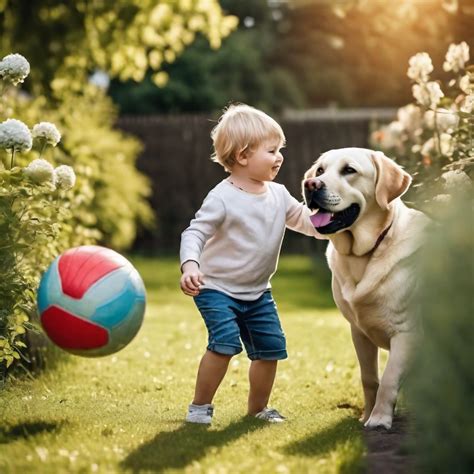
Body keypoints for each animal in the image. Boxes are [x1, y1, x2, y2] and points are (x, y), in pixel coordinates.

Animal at [304, 147, 430, 430]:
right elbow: (369, 379)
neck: (362, 255)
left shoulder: (406, 334)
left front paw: (379, 420)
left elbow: (389, 380)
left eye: (349, 170)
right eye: (320, 170)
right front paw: (367, 414)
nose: (311, 184)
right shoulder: (359, 332)